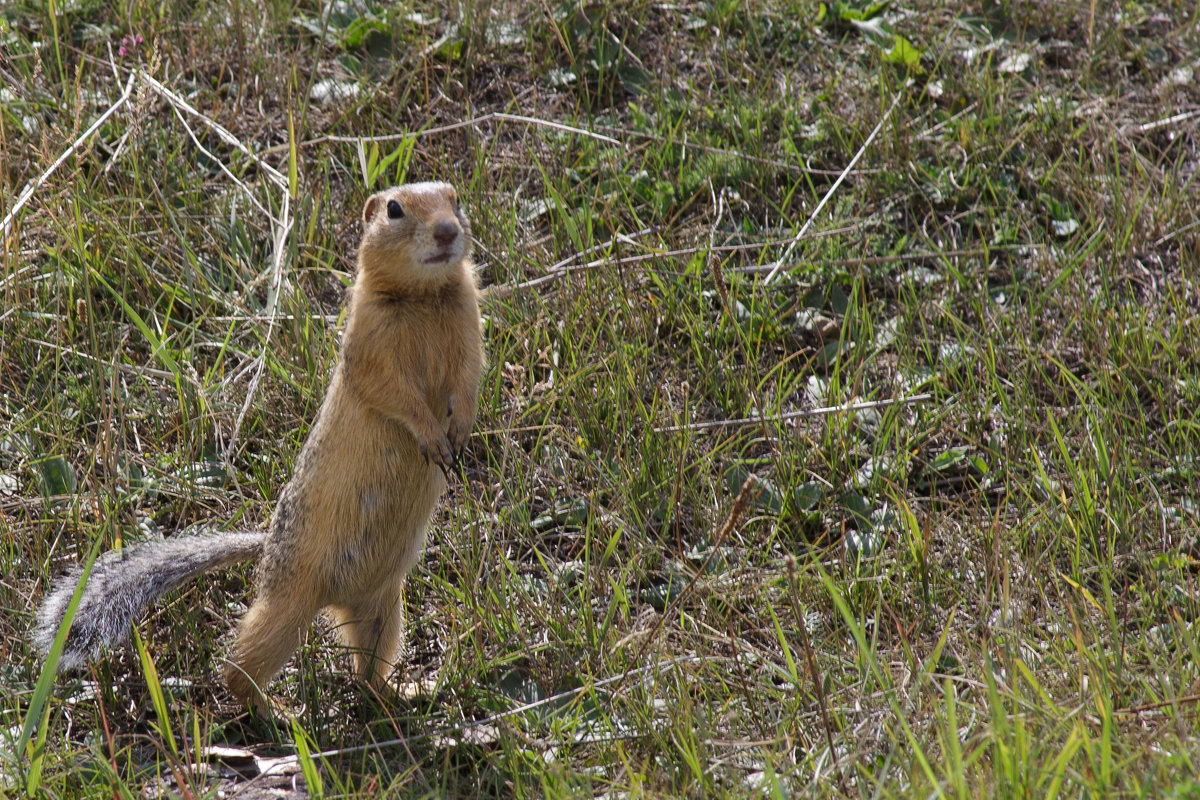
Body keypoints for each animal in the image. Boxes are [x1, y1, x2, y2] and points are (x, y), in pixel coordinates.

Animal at [37, 181, 487, 705]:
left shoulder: (469, 327)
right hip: (287, 608)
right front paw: (432, 436)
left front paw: (461, 431)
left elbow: (469, 379)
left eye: (455, 200)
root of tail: (268, 544)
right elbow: (394, 393)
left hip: (384, 606)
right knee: (238, 667)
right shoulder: (370, 347)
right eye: (394, 210)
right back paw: (277, 709)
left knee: (367, 669)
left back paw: (407, 689)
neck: (424, 296)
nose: (448, 231)